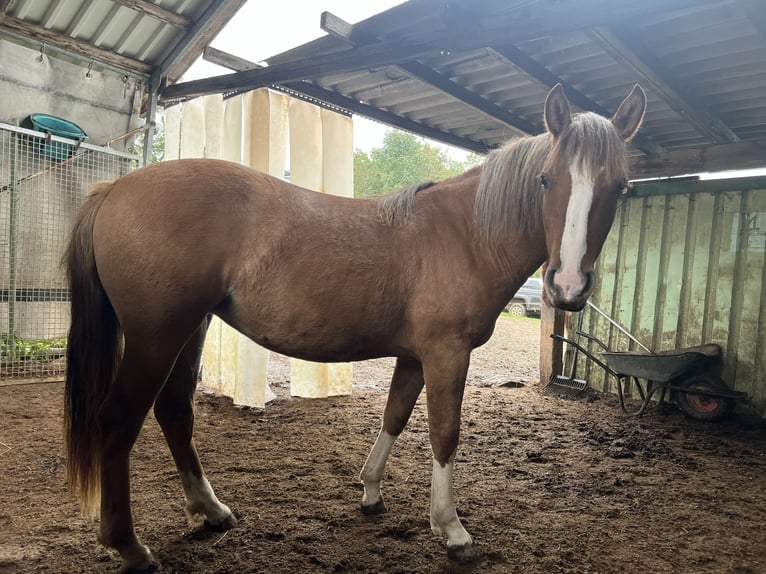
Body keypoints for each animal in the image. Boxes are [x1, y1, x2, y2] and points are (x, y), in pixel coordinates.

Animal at [63, 83, 644, 572]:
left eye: (620, 188)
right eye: (547, 179)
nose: (567, 286)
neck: (465, 234)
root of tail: (113, 189)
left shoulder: (414, 356)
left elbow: (395, 416)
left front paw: (370, 493)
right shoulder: (447, 353)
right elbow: (444, 433)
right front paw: (452, 531)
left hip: (190, 330)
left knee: (175, 412)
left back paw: (211, 511)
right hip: (154, 338)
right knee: (119, 420)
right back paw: (129, 546)